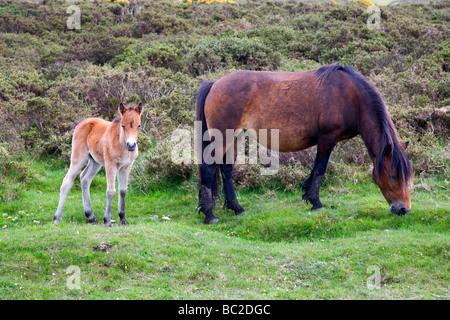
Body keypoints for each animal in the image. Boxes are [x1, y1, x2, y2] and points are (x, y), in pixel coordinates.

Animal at [195, 64, 414, 224]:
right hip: (223, 137)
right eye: (393, 175)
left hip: (236, 137)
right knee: (208, 169)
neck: (350, 96)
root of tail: (214, 84)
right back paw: (210, 215)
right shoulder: (327, 138)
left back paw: (236, 208)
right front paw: (315, 202)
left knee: (227, 170)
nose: (403, 209)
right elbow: (319, 169)